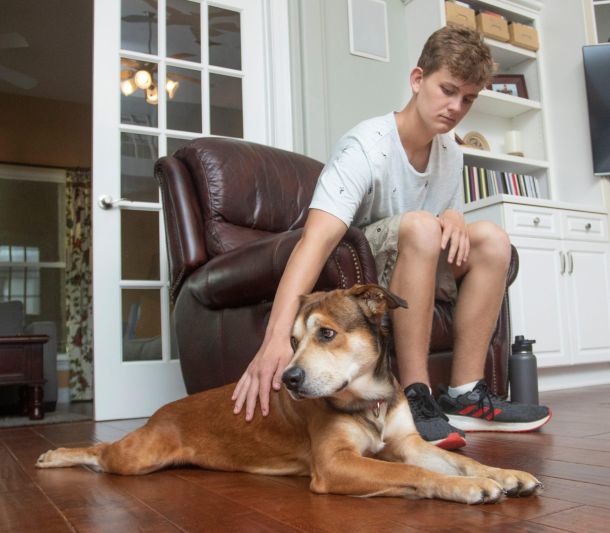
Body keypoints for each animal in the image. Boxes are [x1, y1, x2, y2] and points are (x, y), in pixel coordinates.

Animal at [36, 284, 542, 504]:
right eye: (292, 342)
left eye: (326, 334)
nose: (289, 380)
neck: (371, 401)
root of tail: (161, 412)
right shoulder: (336, 464)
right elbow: (420, 475)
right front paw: (468, 488)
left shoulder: (409, 443)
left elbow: (461, 459)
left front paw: (506, 474)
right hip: (141, 456)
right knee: (100, 453)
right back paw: (54, 455)